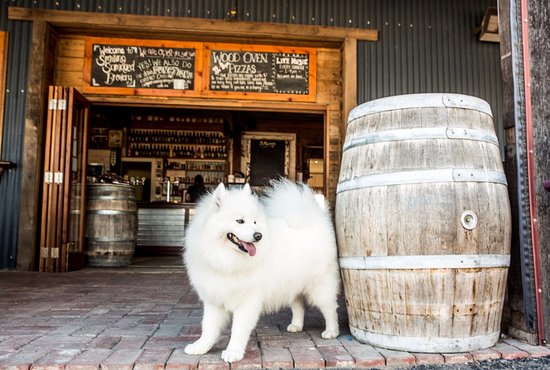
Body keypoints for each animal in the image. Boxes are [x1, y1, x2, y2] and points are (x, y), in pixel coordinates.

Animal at [185, 178, 340, 362]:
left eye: (255, 222)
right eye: (240, 221)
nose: (258, 236)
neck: (227, 260)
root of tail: (313, 220)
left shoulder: (247, 302)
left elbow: (238, 329)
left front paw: (233, 352)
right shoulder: (214, 299)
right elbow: (208, 327)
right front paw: (200, 347)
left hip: (319, 287)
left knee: (330, 308)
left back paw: (331, 331)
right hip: (292, 283)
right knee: (299, 304)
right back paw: (296, 325)